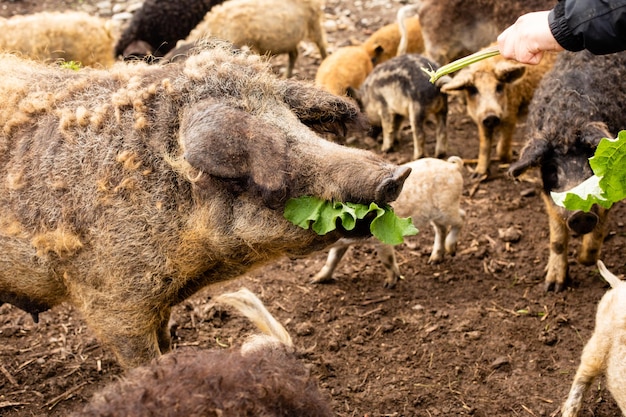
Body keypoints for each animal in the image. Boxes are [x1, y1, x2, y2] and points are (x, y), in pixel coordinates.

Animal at [0, 41, 410, 368]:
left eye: (296, 125)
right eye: (275, 148)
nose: (397, 174)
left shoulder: (158, 301)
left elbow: (165, 337)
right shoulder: (110, 301)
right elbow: (140, 358)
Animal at [510, 51, 626, 292]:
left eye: (590, 164)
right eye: (553, 170)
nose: (581, 214)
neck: (567, 121)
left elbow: (600, 227)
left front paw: (586, 261)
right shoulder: (546, 193)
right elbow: (556, 239)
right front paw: (552, 286)